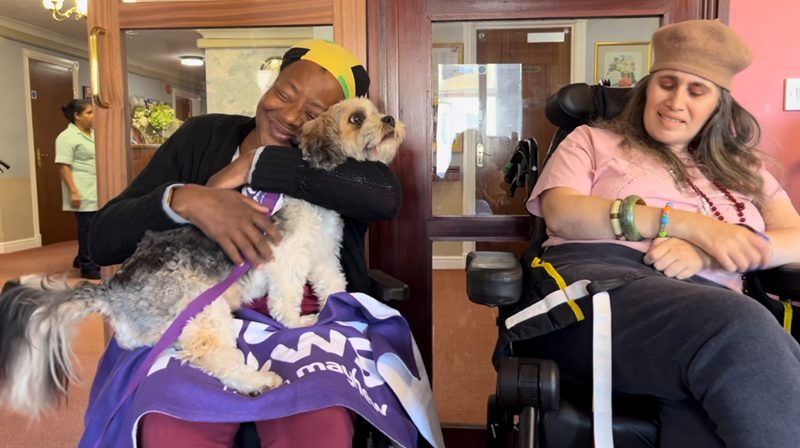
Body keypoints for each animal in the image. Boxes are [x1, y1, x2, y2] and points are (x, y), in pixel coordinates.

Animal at [0, 97, 404, 416]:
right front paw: (300, 322)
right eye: (356, 118)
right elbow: (286, 302)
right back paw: (255, 381)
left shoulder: (323, 253)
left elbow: (332, 284)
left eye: (375, 111)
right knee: (210, 355)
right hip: (205, 312)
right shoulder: (286, 259)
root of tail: (112, 287)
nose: (389, 119)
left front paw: (341, 304)